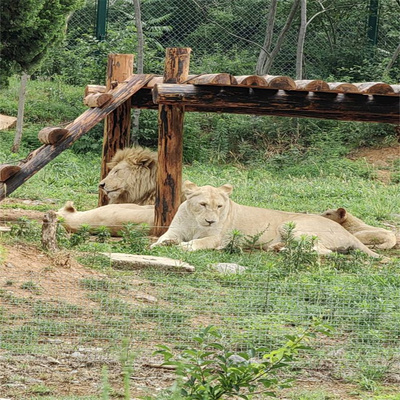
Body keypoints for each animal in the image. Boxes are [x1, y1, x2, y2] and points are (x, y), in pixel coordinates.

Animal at [150, 180, 378, 258]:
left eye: (219, 207)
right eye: (203, 204)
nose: (210, 221)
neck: (195, 220)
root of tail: (347, 232)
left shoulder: (216, 238)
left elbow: (199, 242)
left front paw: (184, 247)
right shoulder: (175, 230)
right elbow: (163, 238)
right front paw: (158, 245)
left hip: (290, 225)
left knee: (322, 250)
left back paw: (283, 250)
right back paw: (277, 247)